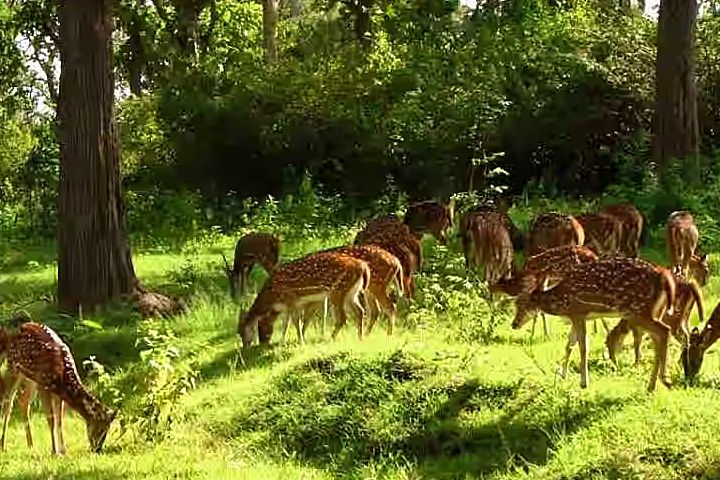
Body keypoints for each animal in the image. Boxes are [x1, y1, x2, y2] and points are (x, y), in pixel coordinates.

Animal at [0, 322, 116, 455]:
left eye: (108, 429)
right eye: (101, 429)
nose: (97, 449)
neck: (62, 377)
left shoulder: (57, 392)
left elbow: (59, 419)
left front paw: (63, 450)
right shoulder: (43, 385)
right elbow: (51, 418)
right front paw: (55, 451)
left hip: (31, 379)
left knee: (23, 401)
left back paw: (31, 445)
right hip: (14, 368)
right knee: (7, 402)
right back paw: (3, 445)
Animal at [237, 251, 371, 348]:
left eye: (241, 331)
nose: (245, 347)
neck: (272, 297)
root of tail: (363, 267)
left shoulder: (291, 299)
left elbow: (295, 322)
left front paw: (300, 342)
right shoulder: (290, 305)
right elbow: (287, 323)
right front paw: (282, 342)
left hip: (338, 291)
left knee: (343, 318)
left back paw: (331, 339)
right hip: (352, 292)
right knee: (360, 311)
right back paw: (360, 338)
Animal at [511, 257, 676, 391]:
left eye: (522, 303)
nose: (514, 324)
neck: (561, 302)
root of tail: (663, 276)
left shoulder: (578, 312)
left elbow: (583, 347)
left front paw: (584, 383)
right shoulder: (576, 317)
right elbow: (569, 344)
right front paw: (563, 375)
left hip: (638, 311)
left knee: (664, 330)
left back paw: (659, 382)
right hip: (655, 310)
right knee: (658, 337)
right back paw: (659, 382)